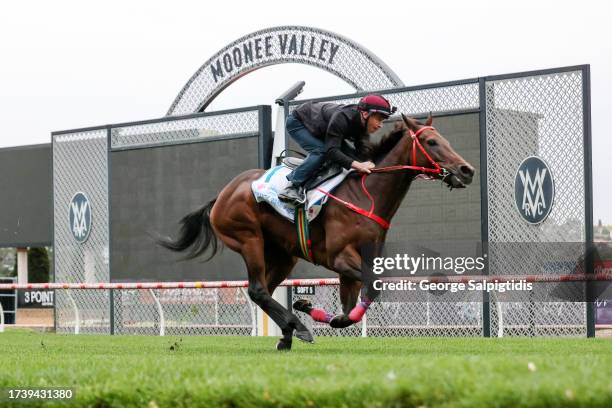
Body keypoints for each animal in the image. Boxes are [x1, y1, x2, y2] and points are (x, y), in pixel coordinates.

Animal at [157, 113, 474, 350]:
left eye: (445, 140)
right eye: (432, 142)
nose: (466, 170)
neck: (366, 194)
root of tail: (222, 194)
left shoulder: (356, 264)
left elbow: (351, 305)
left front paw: (317, 310)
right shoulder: (339, 258)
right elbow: (374, 286)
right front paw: (319, 315)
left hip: (283, 254)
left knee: (265, 289)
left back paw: (287, 335)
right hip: (248, 238)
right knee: (257, 289)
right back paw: (297, 327)